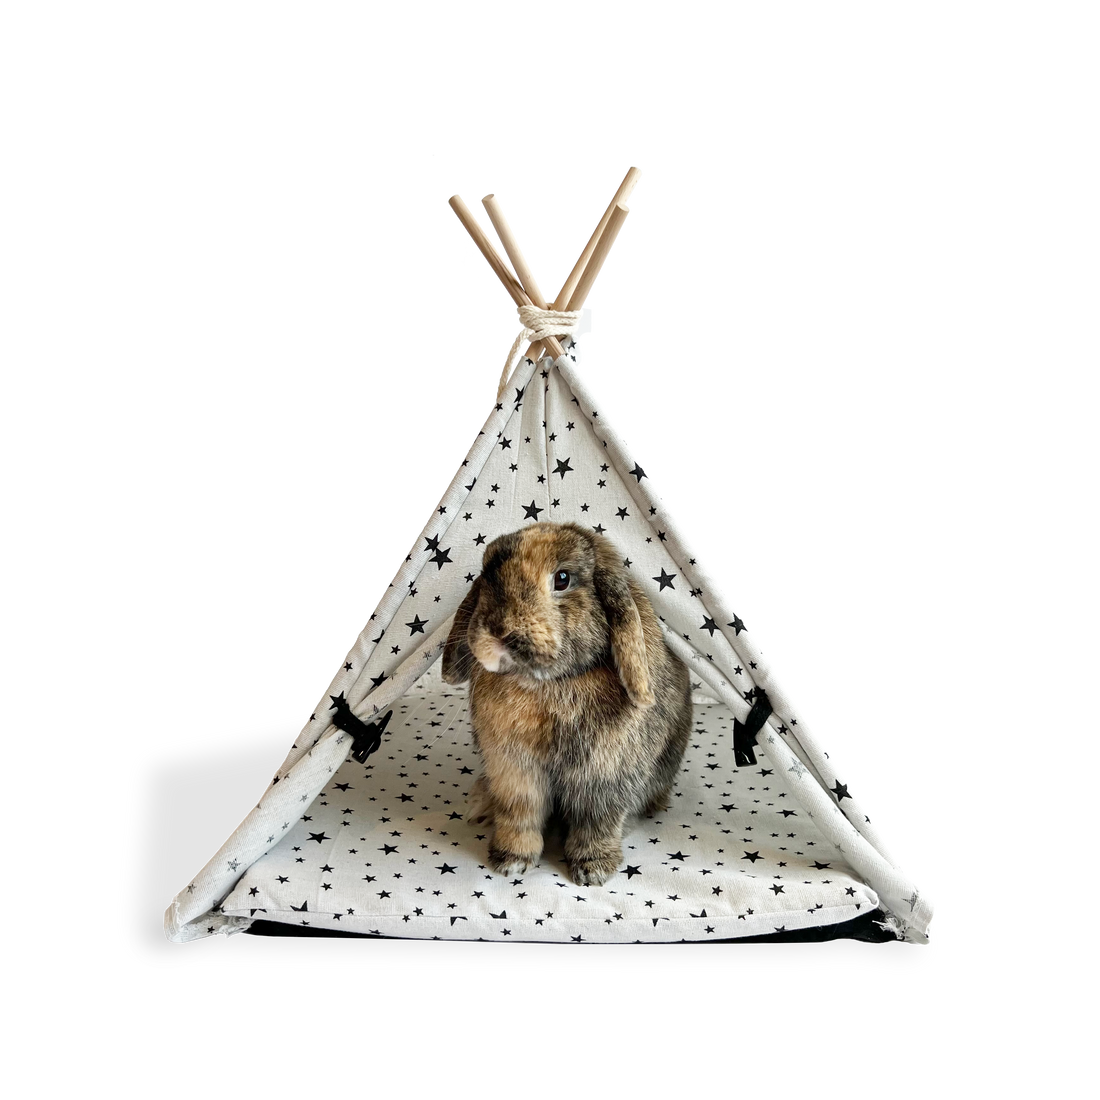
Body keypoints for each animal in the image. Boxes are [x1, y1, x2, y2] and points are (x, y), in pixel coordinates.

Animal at [442, 521, 692, 886]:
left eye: (562, 578)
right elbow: (520, 815)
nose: (500, 632)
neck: (546, 685)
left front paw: (593, 871)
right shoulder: (514, 774)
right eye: (488, 574)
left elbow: (596, 823)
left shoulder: (604, 778)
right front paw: (510, 862)